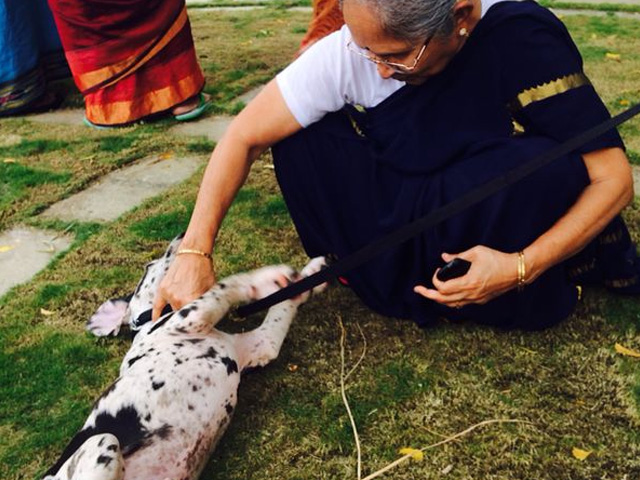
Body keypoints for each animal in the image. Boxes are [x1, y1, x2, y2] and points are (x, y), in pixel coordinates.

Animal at [43, 235, 324, 480]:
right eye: (148, 266)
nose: (181, 235)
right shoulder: (191, 316)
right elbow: (225, 286)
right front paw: (267, 278)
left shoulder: (263, 343)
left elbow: (282, 306)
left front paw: (309, 274)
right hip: (103, 441)